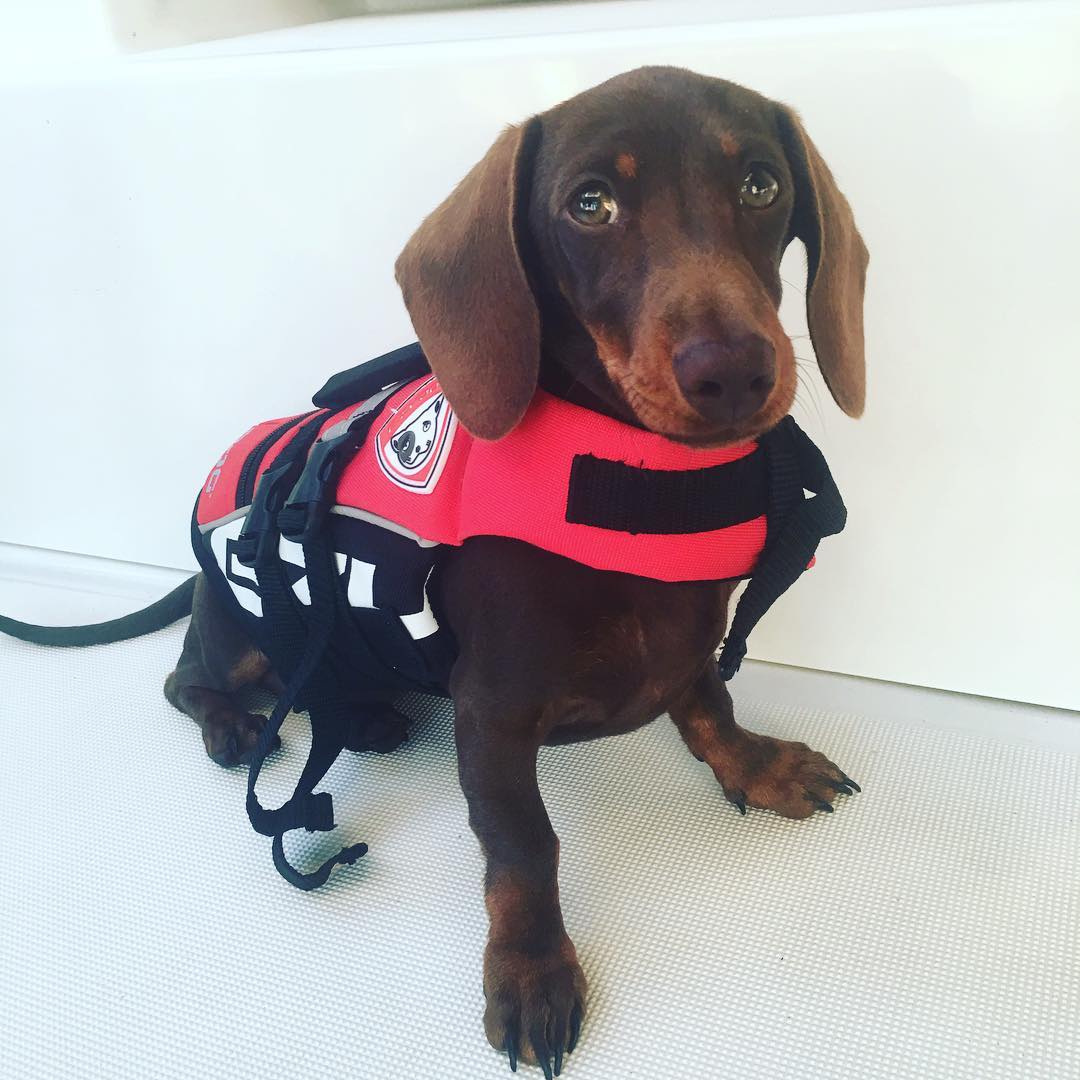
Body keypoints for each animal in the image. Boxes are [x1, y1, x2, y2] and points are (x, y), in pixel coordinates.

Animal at [162, 65, 868, 1071]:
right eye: (590, 203)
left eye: (763, 185)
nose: (734, 371)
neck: (637, 484)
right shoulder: (490, 714)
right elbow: (525, 846)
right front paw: (532, 970)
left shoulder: (693, 644)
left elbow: (709, 706)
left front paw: (758, 763)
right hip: (241, 629)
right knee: (187, 681)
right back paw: (231, 723)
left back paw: (365, 715)